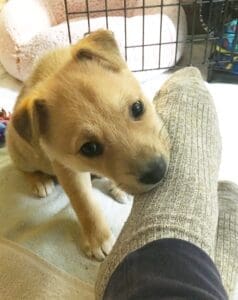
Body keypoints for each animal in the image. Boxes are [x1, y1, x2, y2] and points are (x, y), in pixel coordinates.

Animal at [6, 29, 170, 260]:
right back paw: (39, 181)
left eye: (137, 108)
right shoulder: (66, 168)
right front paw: (99, 240)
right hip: (23, 153)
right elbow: (84, 203)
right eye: (89, 148)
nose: (157, 172)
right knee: (22, 168)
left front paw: (119, 188)